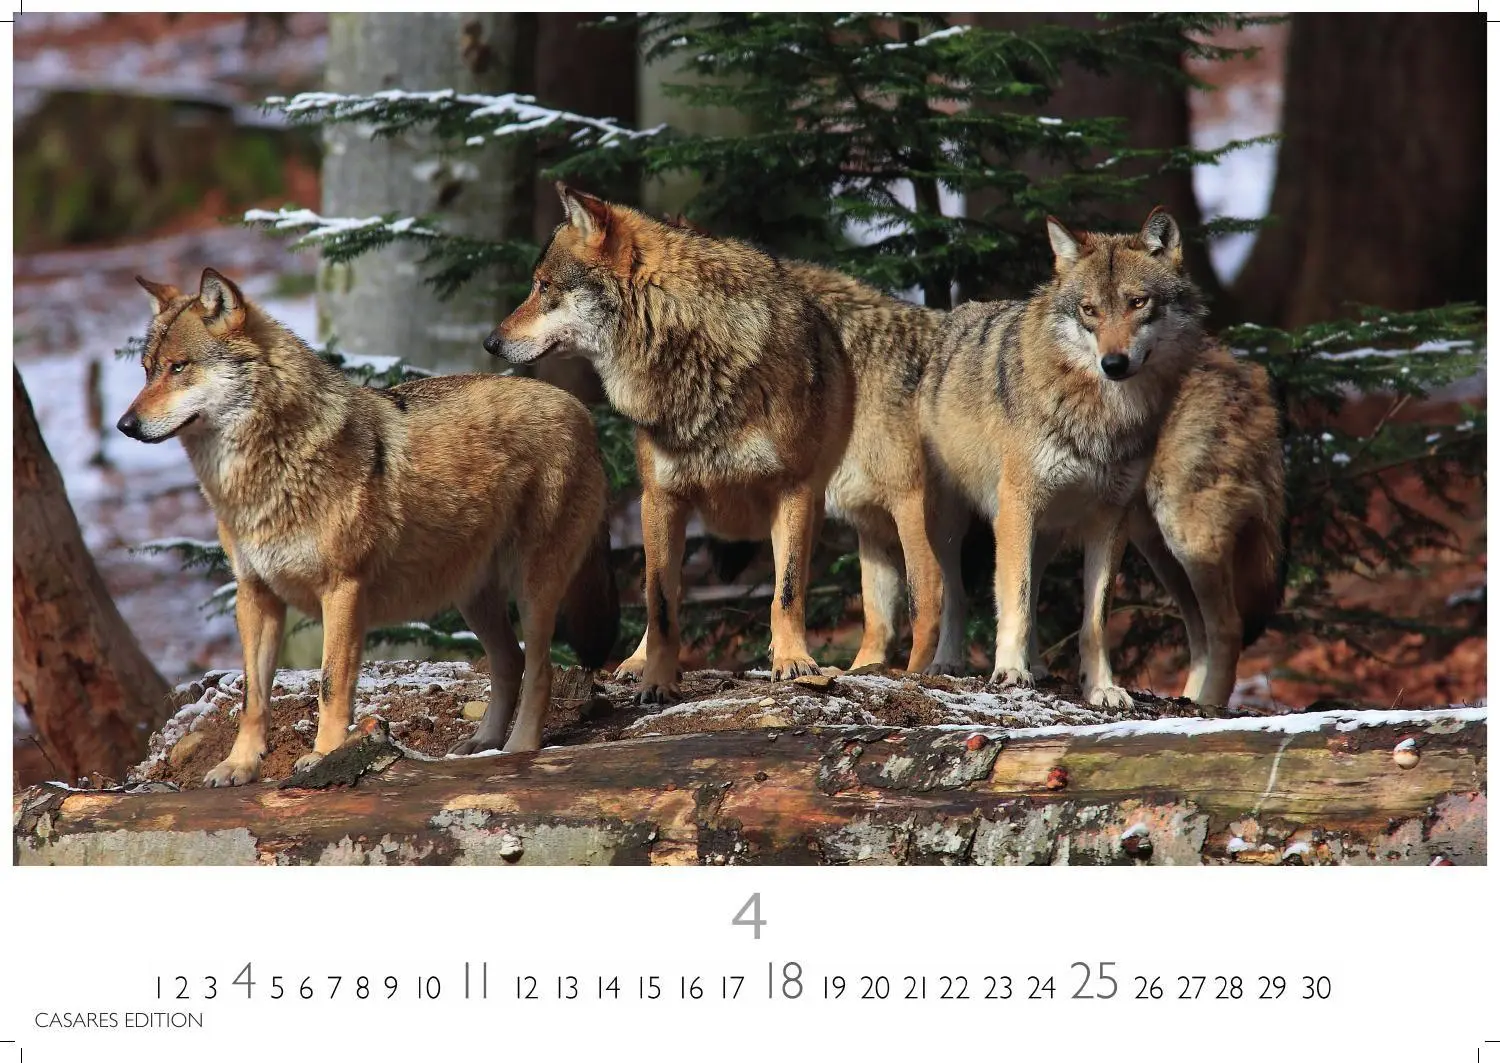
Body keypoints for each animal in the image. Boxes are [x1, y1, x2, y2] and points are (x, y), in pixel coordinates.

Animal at [118, 268, 616, 785]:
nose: (124, 424)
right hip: (471, 597)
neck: (262, 476)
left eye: (179, 367)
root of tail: (580, 410)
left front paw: (323, 756)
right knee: (509, 662)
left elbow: (330, 683)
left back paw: (519, 748)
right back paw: (483, 744)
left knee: (541, 668)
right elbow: (253, 696)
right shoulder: (255, 594)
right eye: (147, 370)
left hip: (534, 590)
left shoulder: (342, 590)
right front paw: (240, 764)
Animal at [919, 208, 1208, 707]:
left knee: (1033, 590)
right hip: (953, 525)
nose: (1114, 363)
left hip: (1047, 533)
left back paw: (1038, 665)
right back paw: (950, 662)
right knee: (957, 593)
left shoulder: (1112, 519)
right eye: (1089, 310)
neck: (1103, 415)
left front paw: (1102, 687)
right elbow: (1013, 598)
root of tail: (951, 318)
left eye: (1137, 303)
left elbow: (1093, 619)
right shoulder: (1018, 506)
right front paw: (1009, 671)